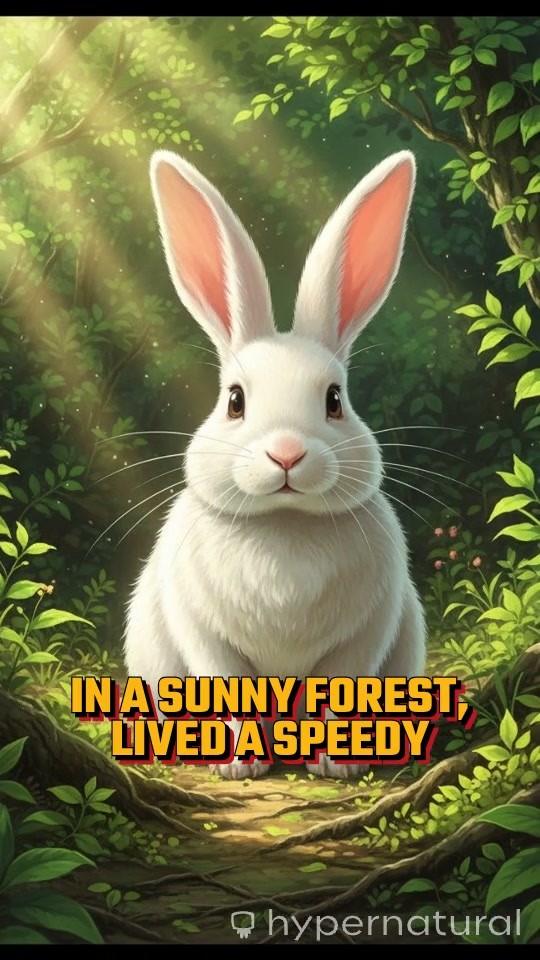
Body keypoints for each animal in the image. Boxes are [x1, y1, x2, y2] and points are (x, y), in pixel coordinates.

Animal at [124, 148, 426, 779]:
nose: (286, 453)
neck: (285, 527)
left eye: (335, 400)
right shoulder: (207, 638)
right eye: (235, 401)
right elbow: (227, 689)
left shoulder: (363, 637)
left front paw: (337, 764)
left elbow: (340, 693)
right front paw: (240, 764)